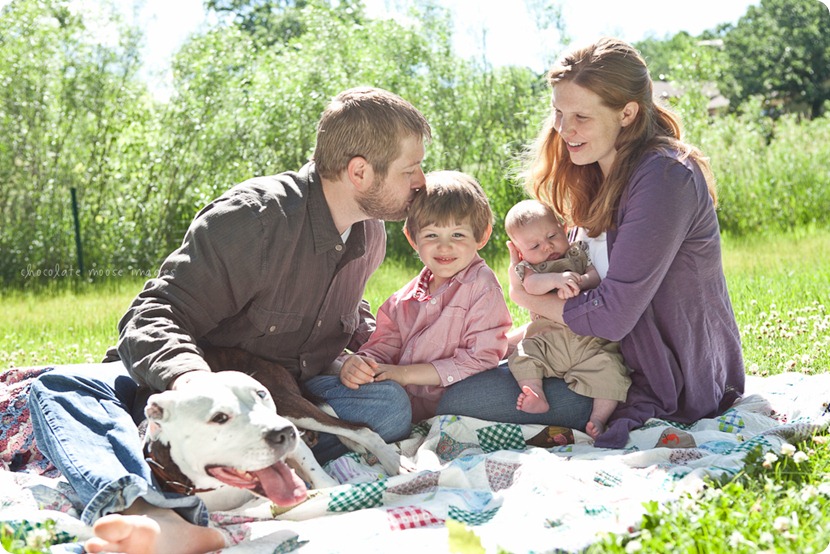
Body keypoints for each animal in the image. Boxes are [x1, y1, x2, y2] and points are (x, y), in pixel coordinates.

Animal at [144, 344, 410, 508]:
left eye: (260, 395)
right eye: (219, 417)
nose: (283, 432)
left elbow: (323, 481)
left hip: (290, 405)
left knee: (358, 428)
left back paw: (394, 462)